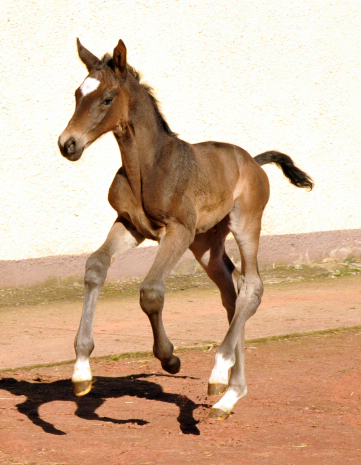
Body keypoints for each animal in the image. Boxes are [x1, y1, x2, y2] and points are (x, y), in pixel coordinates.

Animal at [57, 38, 310, 418]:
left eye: (107, 98)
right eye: (77, 94)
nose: (67, 144)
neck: (148, 167)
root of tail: (253, 161)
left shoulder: (178, 230)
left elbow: (151, 291)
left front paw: (170, 359)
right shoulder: (129, 225)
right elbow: (95, 267)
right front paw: (81, 371)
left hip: (243, 223)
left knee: (252, 286)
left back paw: (220, 374)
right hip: (206, 244)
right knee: (231, 293)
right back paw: (229, 395)